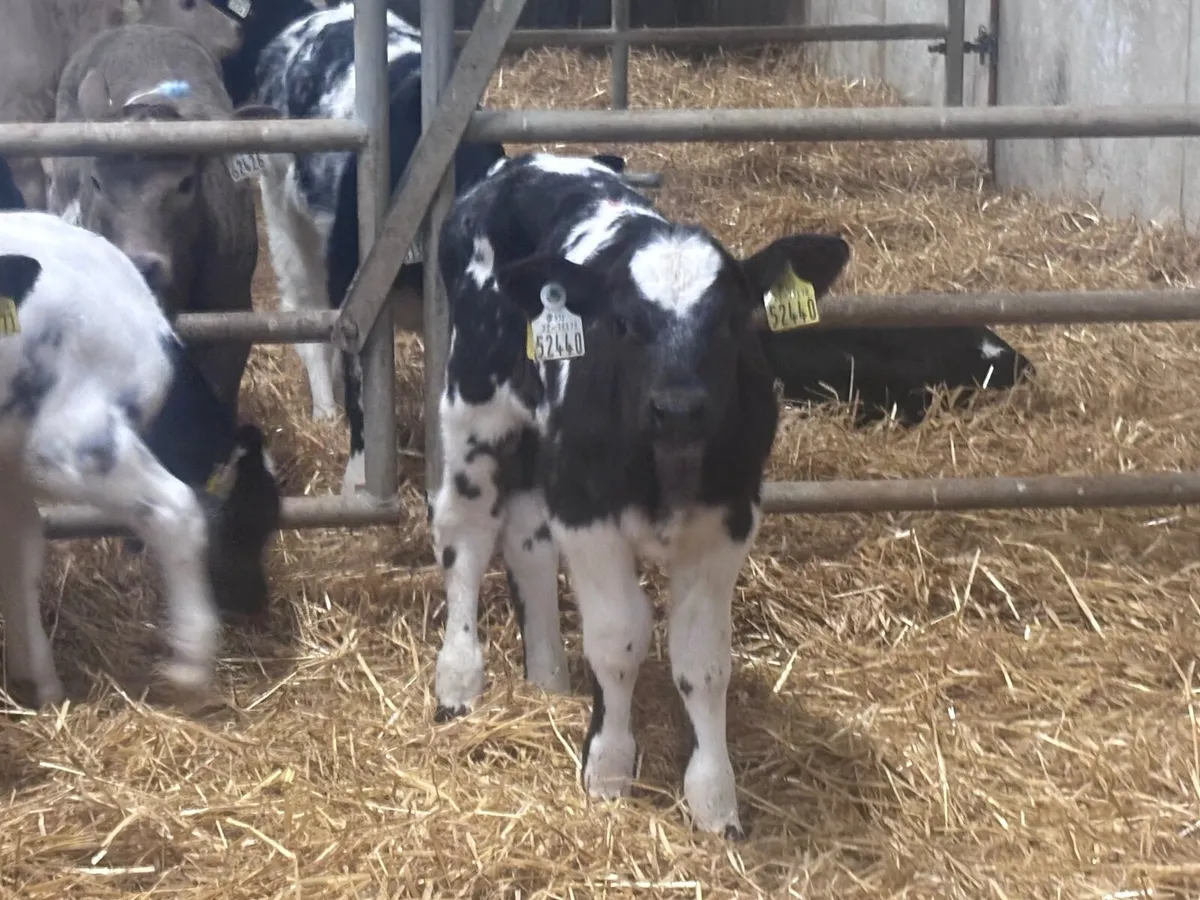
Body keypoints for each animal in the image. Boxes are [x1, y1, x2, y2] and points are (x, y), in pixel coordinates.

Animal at [0, 201, 279, 707]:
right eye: (253, 519)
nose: (257, 603)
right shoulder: (71, 442)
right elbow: (176, 511)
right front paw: (191, 663)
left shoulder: (7, 464)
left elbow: (21, 550)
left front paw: (38, 679)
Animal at [426, 152, 851, 838]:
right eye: (623, 323)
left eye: (731, 322)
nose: (678, 408)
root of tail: (523, 161)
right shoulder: (587, 512)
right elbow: (619, 637)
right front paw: (607, 769)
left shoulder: (728, 522)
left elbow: (703, 658)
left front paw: (714, 799)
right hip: (474, 405)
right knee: (465, 530)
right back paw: (460, 678)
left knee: (527, 541)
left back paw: (548, 679)